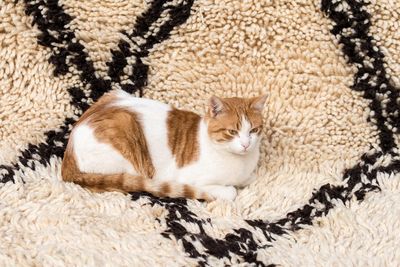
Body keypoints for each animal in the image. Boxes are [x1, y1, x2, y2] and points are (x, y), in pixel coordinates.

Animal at [61, 89, 266, 202]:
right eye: (232, 132)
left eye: (254, 130)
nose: (246, 145)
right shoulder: (190, 179)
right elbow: (230, 191)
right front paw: (228, 190)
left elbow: (251, 177)